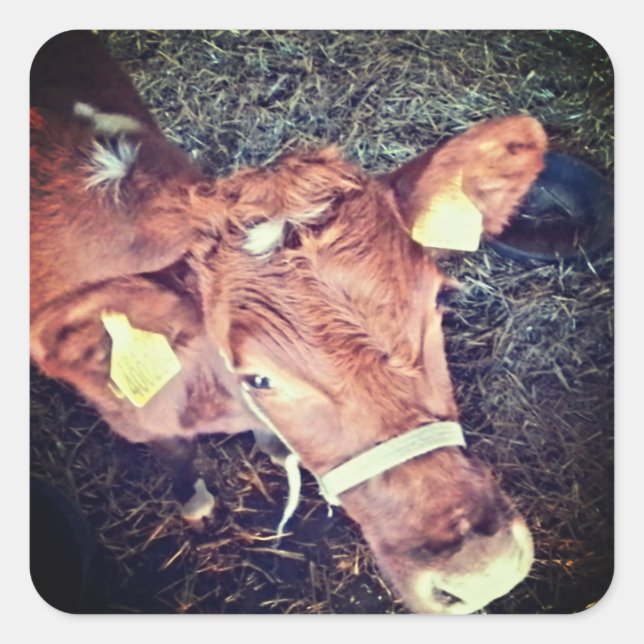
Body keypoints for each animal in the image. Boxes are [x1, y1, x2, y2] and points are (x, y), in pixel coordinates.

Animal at [30, 31, 548, 614]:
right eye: (258, 377)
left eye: (435, 302)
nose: (481, 570)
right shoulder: (142, 419)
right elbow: (178, 457)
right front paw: (196, 504)